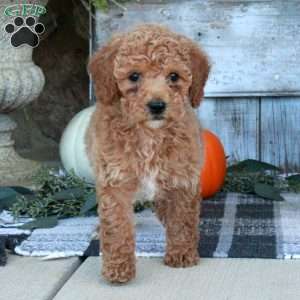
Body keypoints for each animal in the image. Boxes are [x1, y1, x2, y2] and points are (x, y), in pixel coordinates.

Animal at [85, 24, 210, 284]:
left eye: (173, 77)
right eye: (134, 76)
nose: (157, 105)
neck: (149, 135)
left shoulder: (182, 180)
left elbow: (182, 220)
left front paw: (182, 254)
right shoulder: (115, 182)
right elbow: (116, 227)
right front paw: (118, 268)